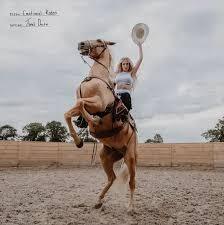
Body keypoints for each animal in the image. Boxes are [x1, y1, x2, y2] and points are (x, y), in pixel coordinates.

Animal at [64, 39, 137, 213]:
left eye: (99, 40)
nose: (81, 43)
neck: (96, 78)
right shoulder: (80, 104)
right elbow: (69, 113)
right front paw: (78, 141)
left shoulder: (98, 103)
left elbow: (81, 104)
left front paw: (95, 121)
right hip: (105, 156)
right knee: (112, 178)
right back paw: (98, 200)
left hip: (130, 157)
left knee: (131, 182)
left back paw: (130, 207)